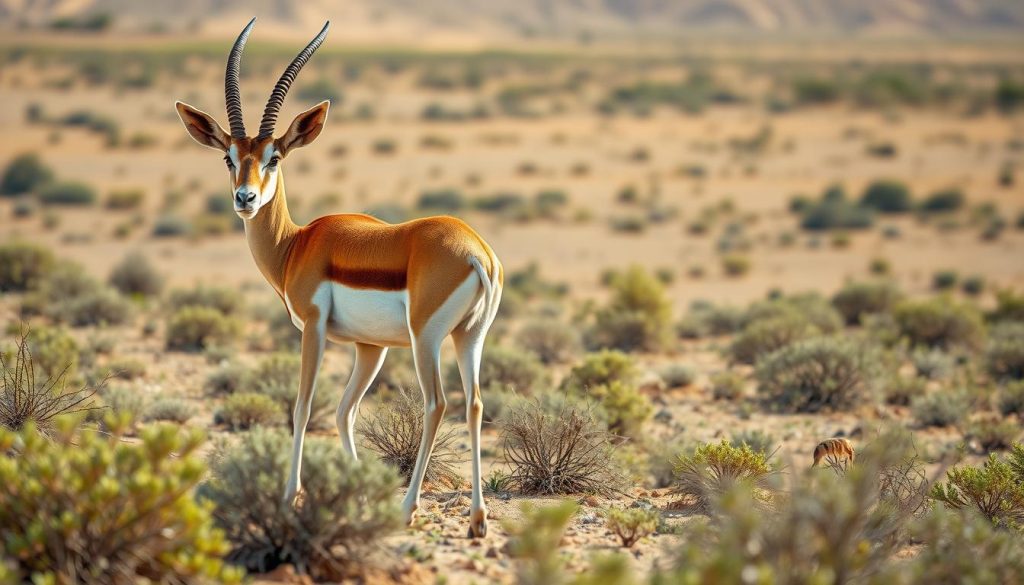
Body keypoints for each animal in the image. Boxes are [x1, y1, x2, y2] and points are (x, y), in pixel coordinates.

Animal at [174, 18, 502, 537]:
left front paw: (289, 496)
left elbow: (304, 406)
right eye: (229, 157)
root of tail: (477, 253)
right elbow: (345, 411)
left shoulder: (313, 327)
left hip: (426, 339)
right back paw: (476, 520)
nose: (245, 199)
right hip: (469, 337)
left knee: (436, 404)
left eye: (274, 157)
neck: (298, 244)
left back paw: (408, 509)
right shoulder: (370, 347)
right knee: (473, 405)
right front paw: (359, 492)